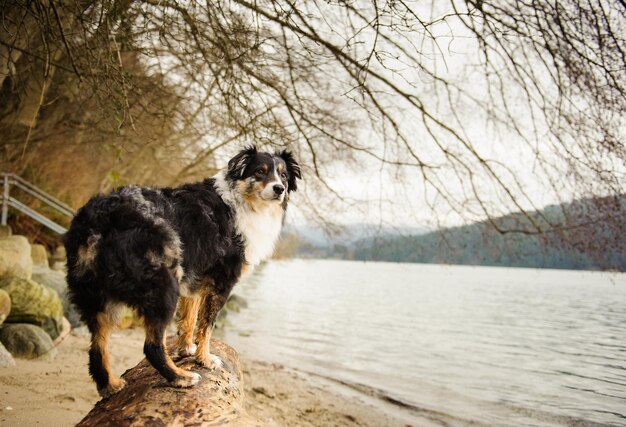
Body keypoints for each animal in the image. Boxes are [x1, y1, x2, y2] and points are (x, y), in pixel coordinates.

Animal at [63, 147, 300, 398]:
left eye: (283, 175)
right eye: (260, 171)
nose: (279, 189)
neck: (243, 202)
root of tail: (100, 218)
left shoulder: (195, 279)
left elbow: (190, 319)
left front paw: (187, 349)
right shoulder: (222, 283)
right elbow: (207, 326)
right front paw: (205, 359)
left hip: (99, 297)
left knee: (97, 346)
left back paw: (110, 384)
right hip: (164, 288)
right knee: (151, 345)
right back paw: (180, 377)